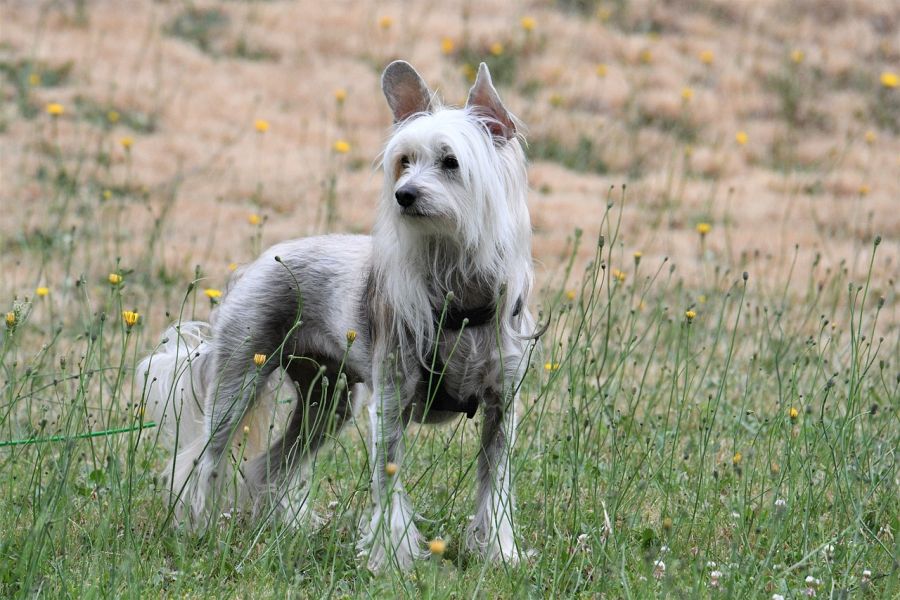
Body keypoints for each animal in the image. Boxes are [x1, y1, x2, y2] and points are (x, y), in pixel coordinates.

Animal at [139, 61, 536, 572]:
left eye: (450, 162)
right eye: (404, 161)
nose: (404, 195)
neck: (458, 293)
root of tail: (257, 263)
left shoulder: (500, 408)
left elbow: (495, 488)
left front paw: (501, 555)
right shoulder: (389, 405)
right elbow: (388, 486)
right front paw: (392, 559)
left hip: (326, 403)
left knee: (268, 466)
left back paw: (277, 529)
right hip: (238, 385)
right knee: (201, 462)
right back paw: (197, 531)